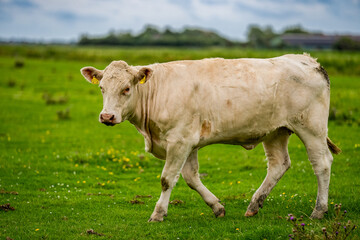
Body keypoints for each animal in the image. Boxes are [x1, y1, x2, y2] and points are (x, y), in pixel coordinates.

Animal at [81, 53, 340, 222]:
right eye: (102, 88)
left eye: (126, 88)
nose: (107, 116)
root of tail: (308, 60)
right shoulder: (188, 143)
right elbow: (191, 178)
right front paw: (217, 207)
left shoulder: (179, 140)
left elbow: (167, 179)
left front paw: (158, 214)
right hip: (276, 131)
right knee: (279, 165)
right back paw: (254, 205)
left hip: (312, 128)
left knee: (322, 164)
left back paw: (319, 210)